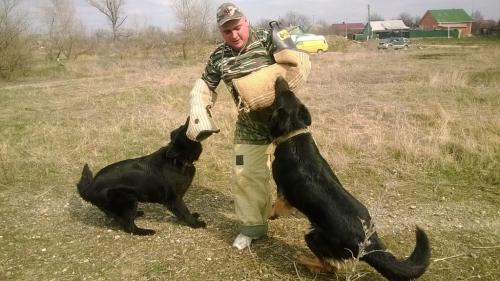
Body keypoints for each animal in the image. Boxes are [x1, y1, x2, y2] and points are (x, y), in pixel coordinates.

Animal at [76, 118, 205, 234]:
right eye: (185, 129)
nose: (190, 118)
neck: (178, 160)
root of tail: (90, 187)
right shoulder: (174, 199)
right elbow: (184, 211)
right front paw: (195, 223)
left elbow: (182, 212)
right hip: (129, 199)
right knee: (129, 227)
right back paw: (145, 231)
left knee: (118, 218)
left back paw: (136, 215)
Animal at [270, 76, 430, 280]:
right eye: (289, 92)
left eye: (279, 96)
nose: (279, 78)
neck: (294, 133)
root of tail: (367, 243)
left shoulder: (282, 192)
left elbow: (275, 206)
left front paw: (270, 214)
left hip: (313, 236)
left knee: (331, 267)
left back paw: (304, 260)